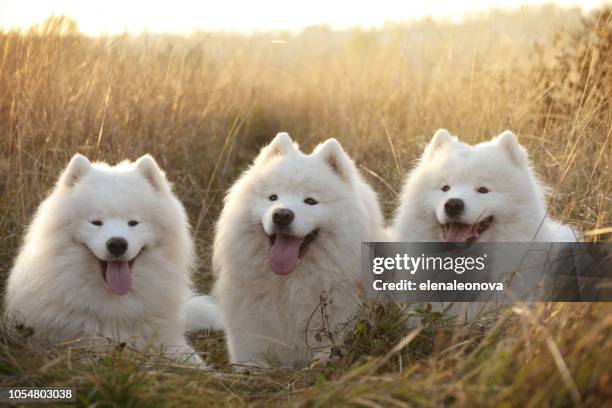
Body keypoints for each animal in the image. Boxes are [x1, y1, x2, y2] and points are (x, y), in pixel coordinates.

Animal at [213, 132, 384, 368]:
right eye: (273, 197)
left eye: (310, 201)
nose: (282, 215)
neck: (290, 286)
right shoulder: (251, 335)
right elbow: (252, 361)